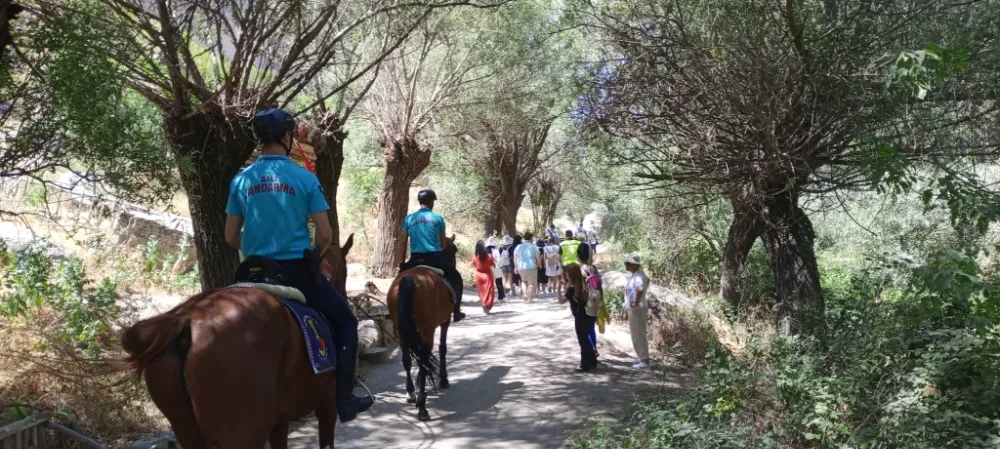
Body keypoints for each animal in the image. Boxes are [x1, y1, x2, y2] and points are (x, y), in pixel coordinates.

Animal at [120, 236, 356, 446]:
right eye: (345, 271)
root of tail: (188, 319)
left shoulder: (279, 420)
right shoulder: (327, 404)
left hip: (187, 428)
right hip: (243, 432)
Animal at [384, 234, 458, 420]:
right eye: (454, 250)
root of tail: (408, 279)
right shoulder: (445, 322)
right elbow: (442, 348)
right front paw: (443, 379)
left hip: (401, 330)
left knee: (407, 360)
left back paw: (411, 393)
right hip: (426, 330)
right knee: (424, 360)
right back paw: (422, 407)